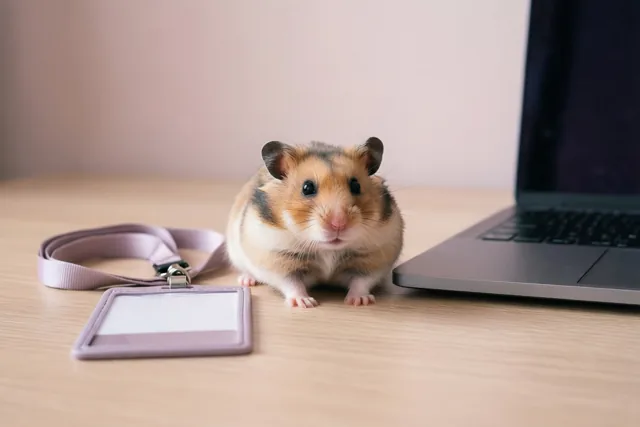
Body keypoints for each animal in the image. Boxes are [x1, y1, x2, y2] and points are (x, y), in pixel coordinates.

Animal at [225, 137, 404, 308]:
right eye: (307, 188)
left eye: (356, 185)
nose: (339, 224)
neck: (327, 250)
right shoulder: (276, 258)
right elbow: (292, 283)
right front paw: (305, 303)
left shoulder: (374, 258)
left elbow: (361, 282)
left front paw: (359, 301)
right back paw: (247, 280)